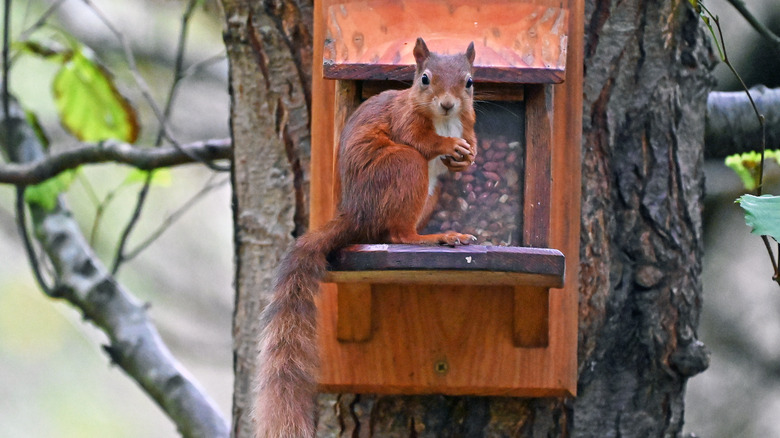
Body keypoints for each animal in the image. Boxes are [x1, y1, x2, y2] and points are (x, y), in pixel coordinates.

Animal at [254, 38, 476, 438]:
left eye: (469, 82)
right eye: (424, 78)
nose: (448, 104)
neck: (444, 119)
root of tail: (356, 212)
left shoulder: (467, 120)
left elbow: (471, 138)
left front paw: (469, 155)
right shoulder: (405, 121)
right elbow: (420, 138)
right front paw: (447, 146)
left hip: (427, 191)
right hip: (404, 167)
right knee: (399, 233)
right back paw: (433, 238)